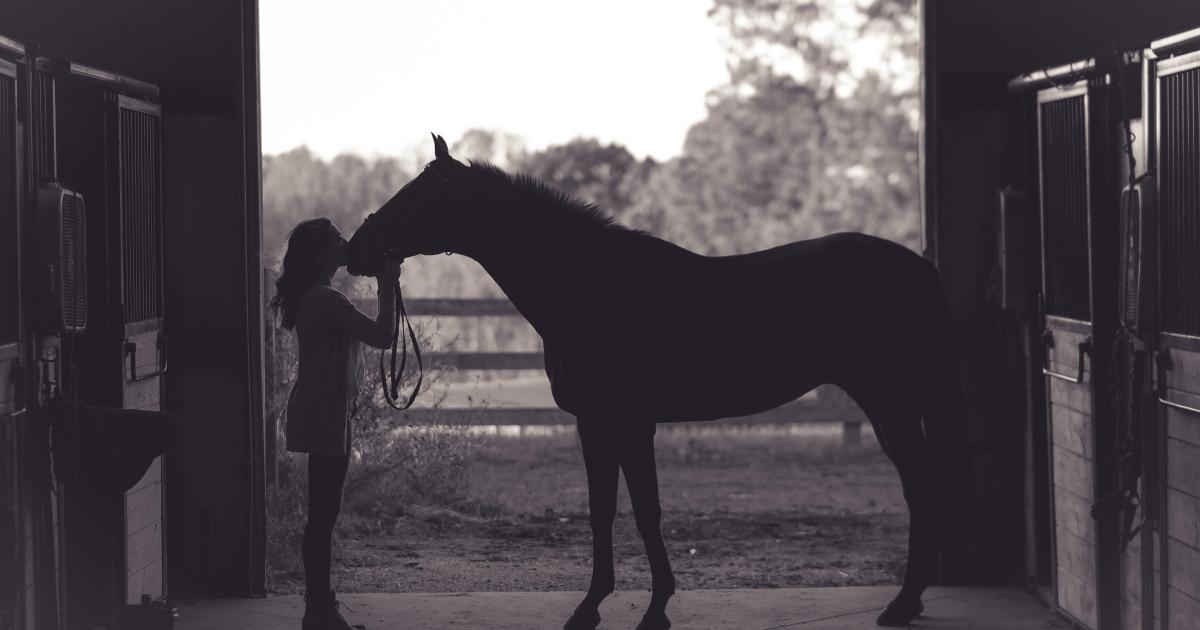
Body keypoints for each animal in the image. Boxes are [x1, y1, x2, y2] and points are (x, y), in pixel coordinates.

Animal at [346, 134, 978, 629]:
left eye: (418, 196)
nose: (356, 251)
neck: (589, 287)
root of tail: (918, 266)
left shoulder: (630, 422)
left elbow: (645, 510)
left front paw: (654, 610)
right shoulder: (595, 424)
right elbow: (604, 510)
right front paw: (591, 607)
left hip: (893, 400)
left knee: (921, 485)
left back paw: (902, 604)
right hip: (881, 401)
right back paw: (909, 601)